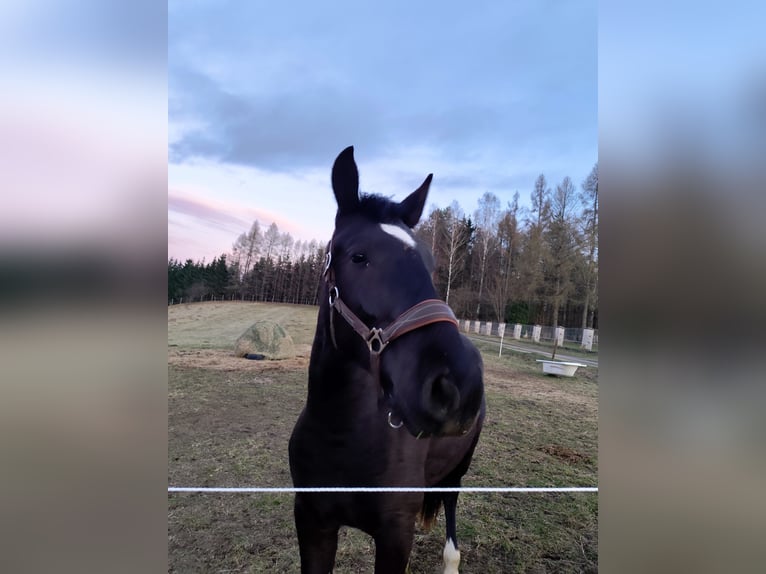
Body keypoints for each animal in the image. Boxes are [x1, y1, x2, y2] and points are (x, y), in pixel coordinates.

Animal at [288, 146, 486, 574]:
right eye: (358, 257)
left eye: (431, 265)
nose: (457, 384)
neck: (341, 434)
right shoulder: (312, 522)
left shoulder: (396, 534)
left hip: (457, 471)